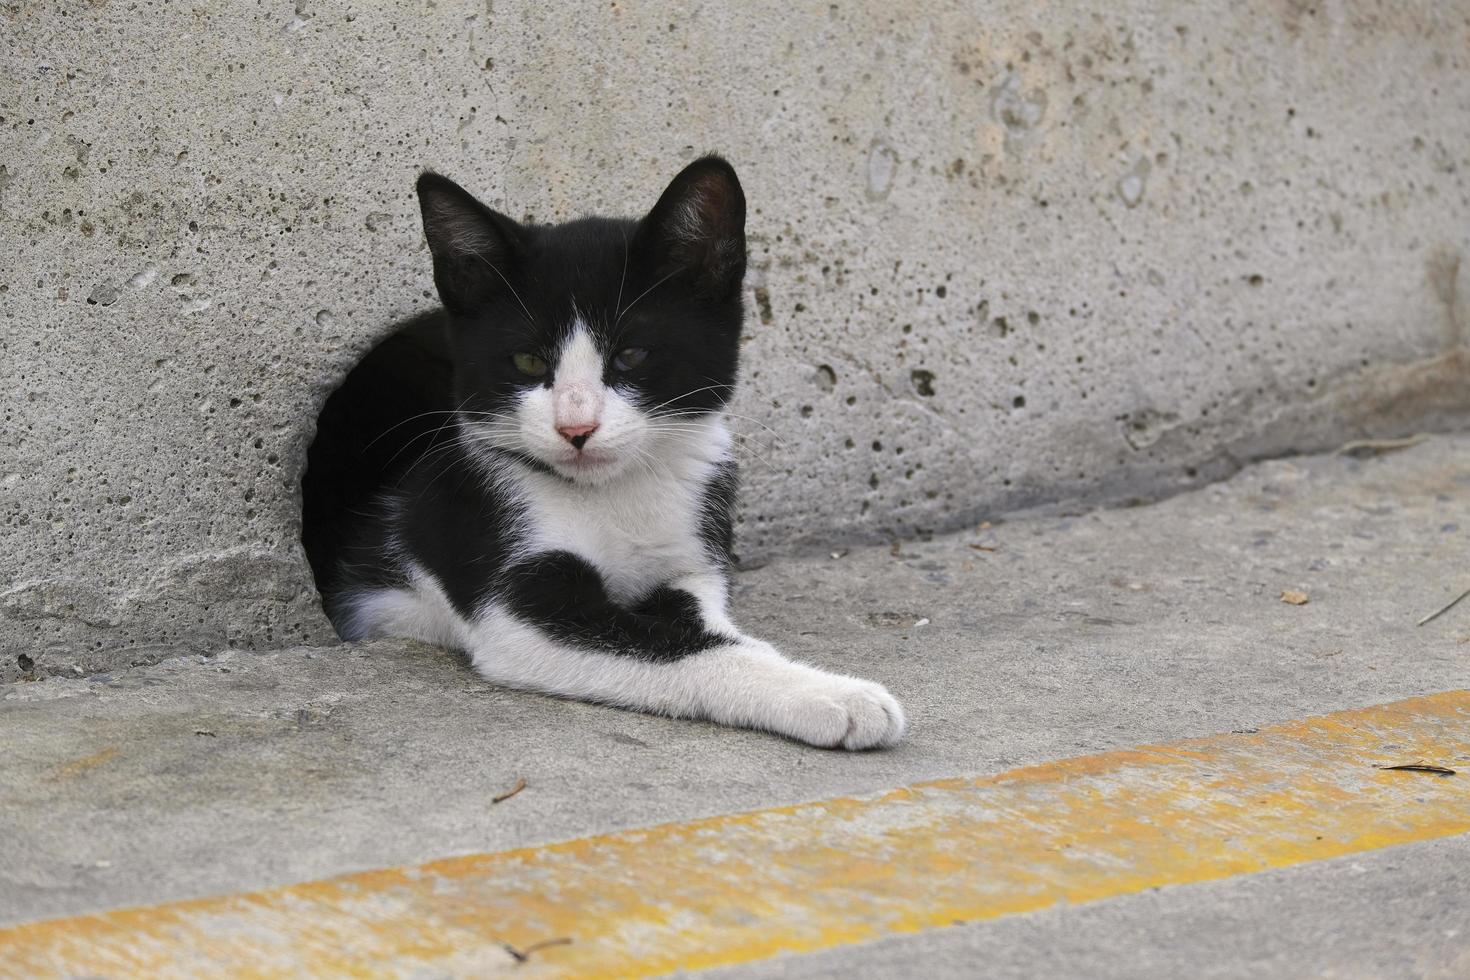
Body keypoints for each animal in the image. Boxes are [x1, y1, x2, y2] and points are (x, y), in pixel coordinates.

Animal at [304, 155, 905, 752]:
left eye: (631, 355)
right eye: (527, 361)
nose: (577, 428)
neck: (614, 494)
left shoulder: (690, 557)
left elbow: (694, 619)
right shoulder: (505, 579)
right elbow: (667, 648)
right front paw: (832, 695)